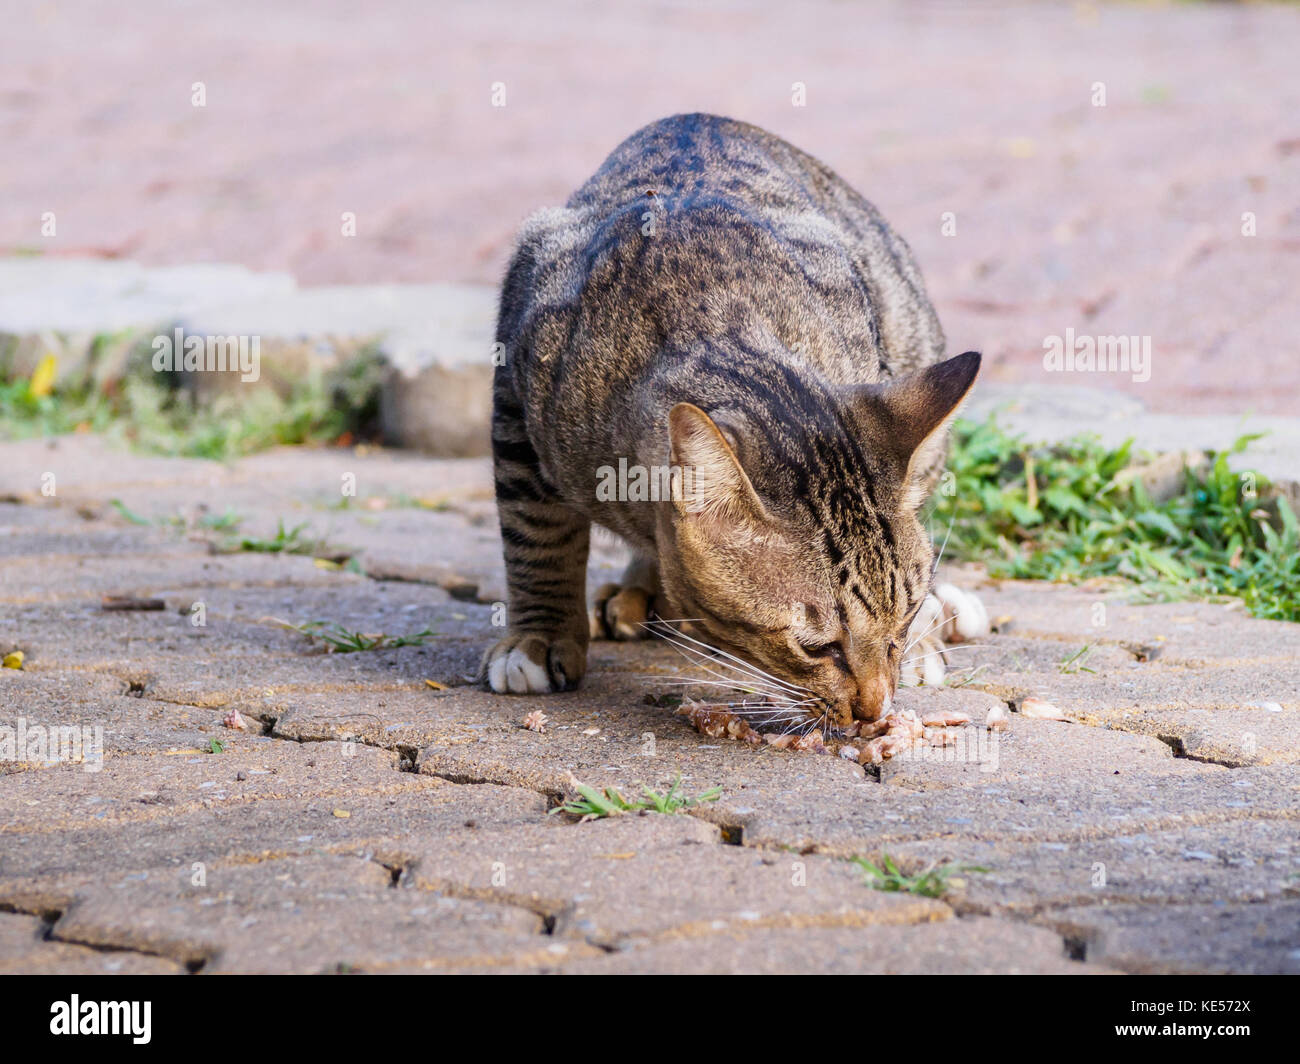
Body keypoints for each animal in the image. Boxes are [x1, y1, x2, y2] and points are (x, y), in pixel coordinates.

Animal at [486, 115, 982, 728]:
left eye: (904, 616)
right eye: (817, 646)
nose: (875, 711)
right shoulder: (515, 386)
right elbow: (536, 535)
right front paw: (540, 637)